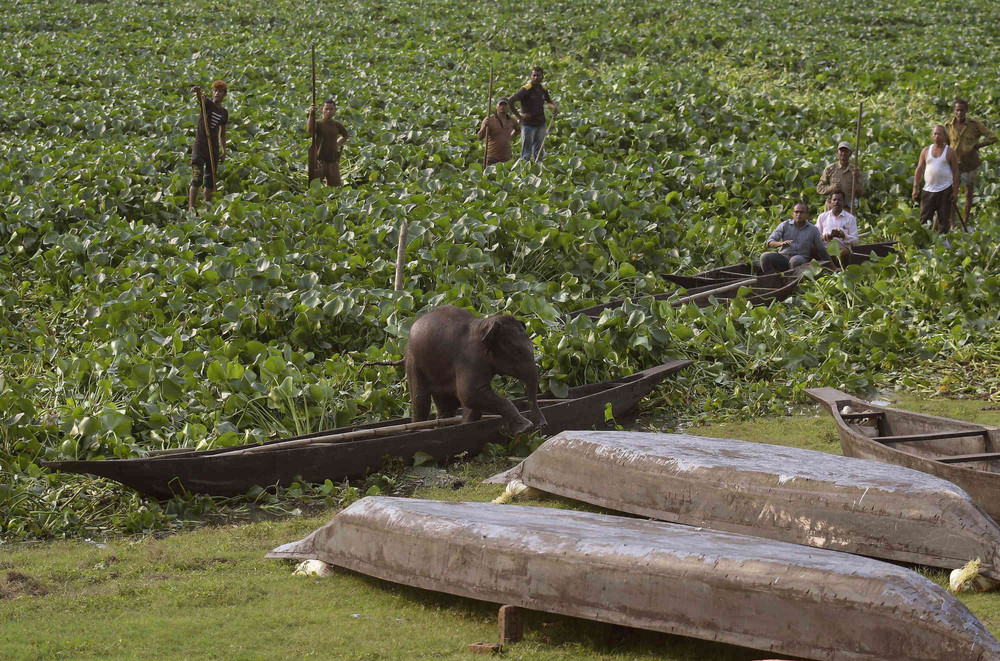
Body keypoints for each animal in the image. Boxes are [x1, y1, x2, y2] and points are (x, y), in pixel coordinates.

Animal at [404, 304, 548, 434]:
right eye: (516, 353)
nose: (542, 425)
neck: (487, 323)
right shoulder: (469, 359)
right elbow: (469, 394)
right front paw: (526, 427)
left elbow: (471, 402)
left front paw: (466, 424)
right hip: (413, 360)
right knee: (421, 400)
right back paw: (418, 429)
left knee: (446, 406)